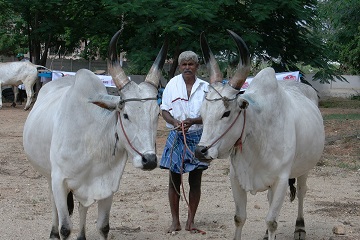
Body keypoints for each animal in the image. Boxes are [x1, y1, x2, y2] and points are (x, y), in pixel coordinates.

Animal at [22, 30, 169, 240]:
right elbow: (65, 227)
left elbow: (103, 226)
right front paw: (59, 231)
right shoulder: (59, 182)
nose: (149, 160)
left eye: (157, 114)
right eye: (125, 114)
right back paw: (53, 232)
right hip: (48, 175)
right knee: (53, 204)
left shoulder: (107, 185)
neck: (93, 141)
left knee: (82, 207)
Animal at [195, 30, 324, 240]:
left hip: (304, 168)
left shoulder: (281, 180)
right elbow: (239, 217)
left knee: (301, 192)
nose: (200, 151)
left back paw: (300, 227)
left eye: (226, 113)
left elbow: (272, 222)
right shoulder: (236, 178)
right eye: (202, 112)